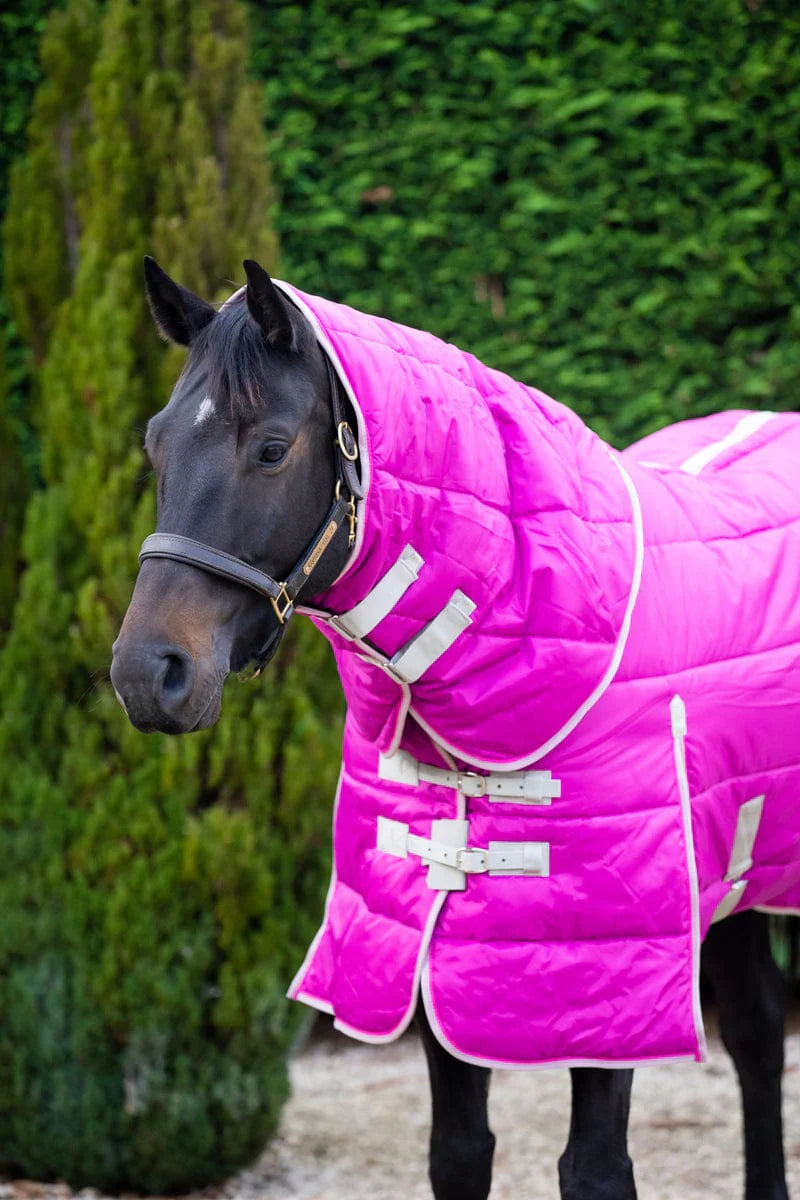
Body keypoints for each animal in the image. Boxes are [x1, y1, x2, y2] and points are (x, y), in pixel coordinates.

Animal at [111, 257, 796, 1200]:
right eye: (156, 444)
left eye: (272, 447)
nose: (149, 674)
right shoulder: (430, 954)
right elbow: (460, 1151)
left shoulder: (608, 983)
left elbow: (594, 1169)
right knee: (761, 1029)